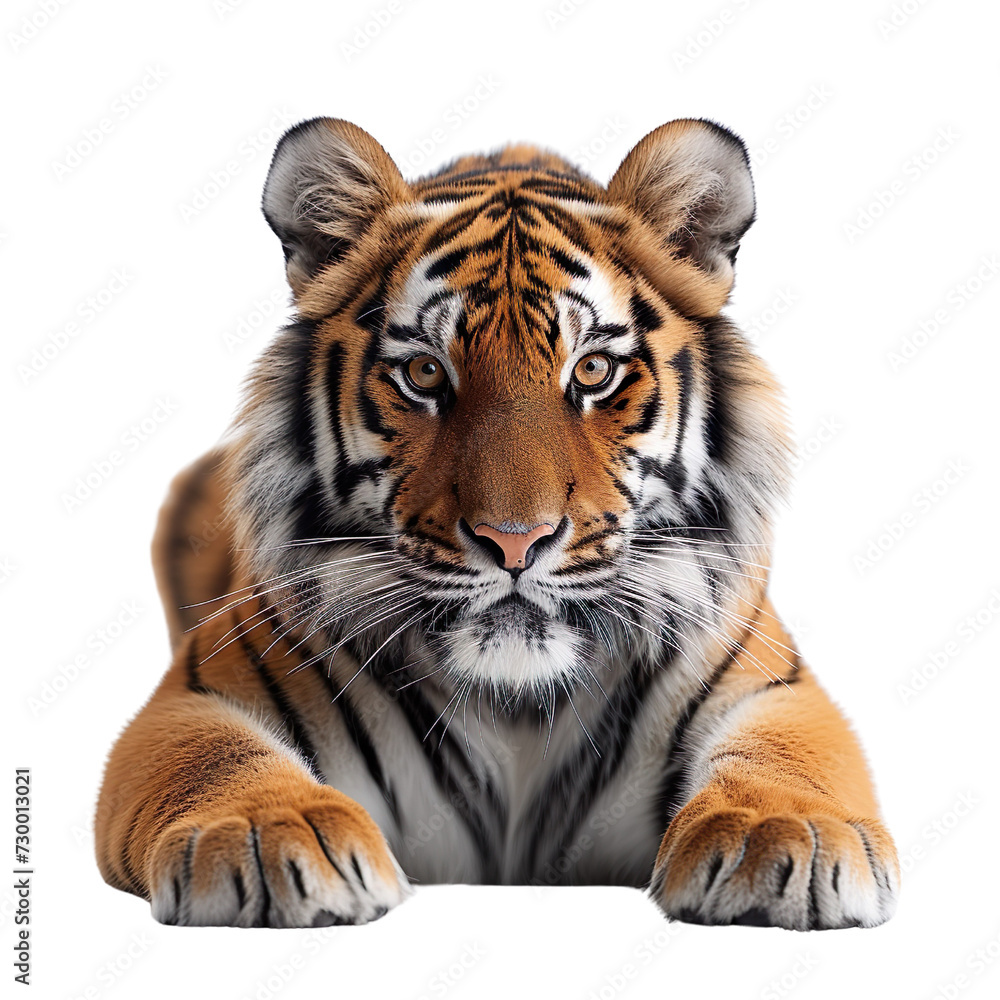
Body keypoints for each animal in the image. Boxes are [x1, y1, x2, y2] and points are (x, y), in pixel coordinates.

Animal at [95, 117, 899, 930]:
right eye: (424, 374)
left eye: (593, 371)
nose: (515, 541)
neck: (516, 708)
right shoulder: (198, 697)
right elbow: (217, 759)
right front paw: (271, 834)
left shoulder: (772, 685)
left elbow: (786, 756)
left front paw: (783, 834)